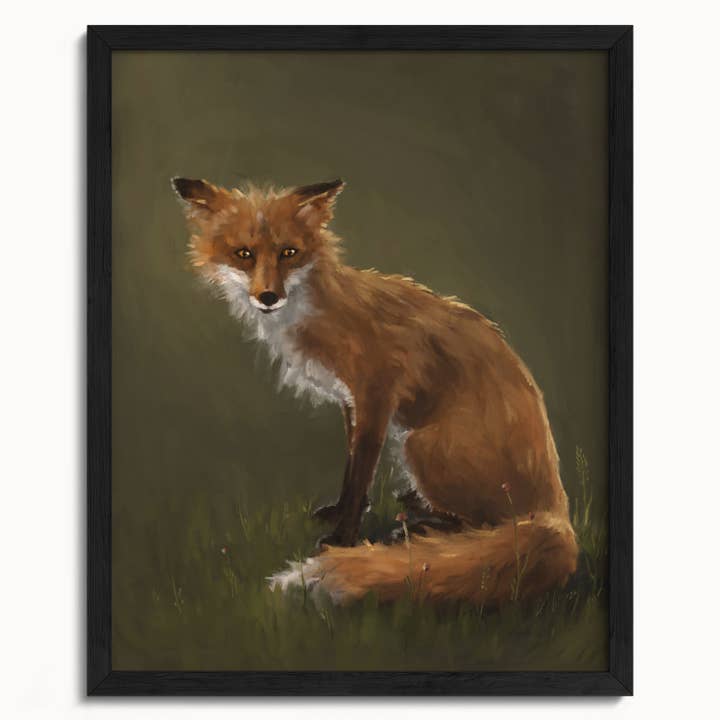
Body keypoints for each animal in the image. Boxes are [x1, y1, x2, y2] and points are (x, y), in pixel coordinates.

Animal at [171, 175, 578, 607]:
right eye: (244, 254)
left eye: (289, 253)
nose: (268, 297)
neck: (318, 311)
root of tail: (556, 509)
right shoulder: (350, 401)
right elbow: (351, 469)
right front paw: (339, 513)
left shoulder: (377, 393)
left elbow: (360, 474)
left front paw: (341, 539)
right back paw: (417, 508)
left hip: (418, 445)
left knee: (490, 526)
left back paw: (422, 528)